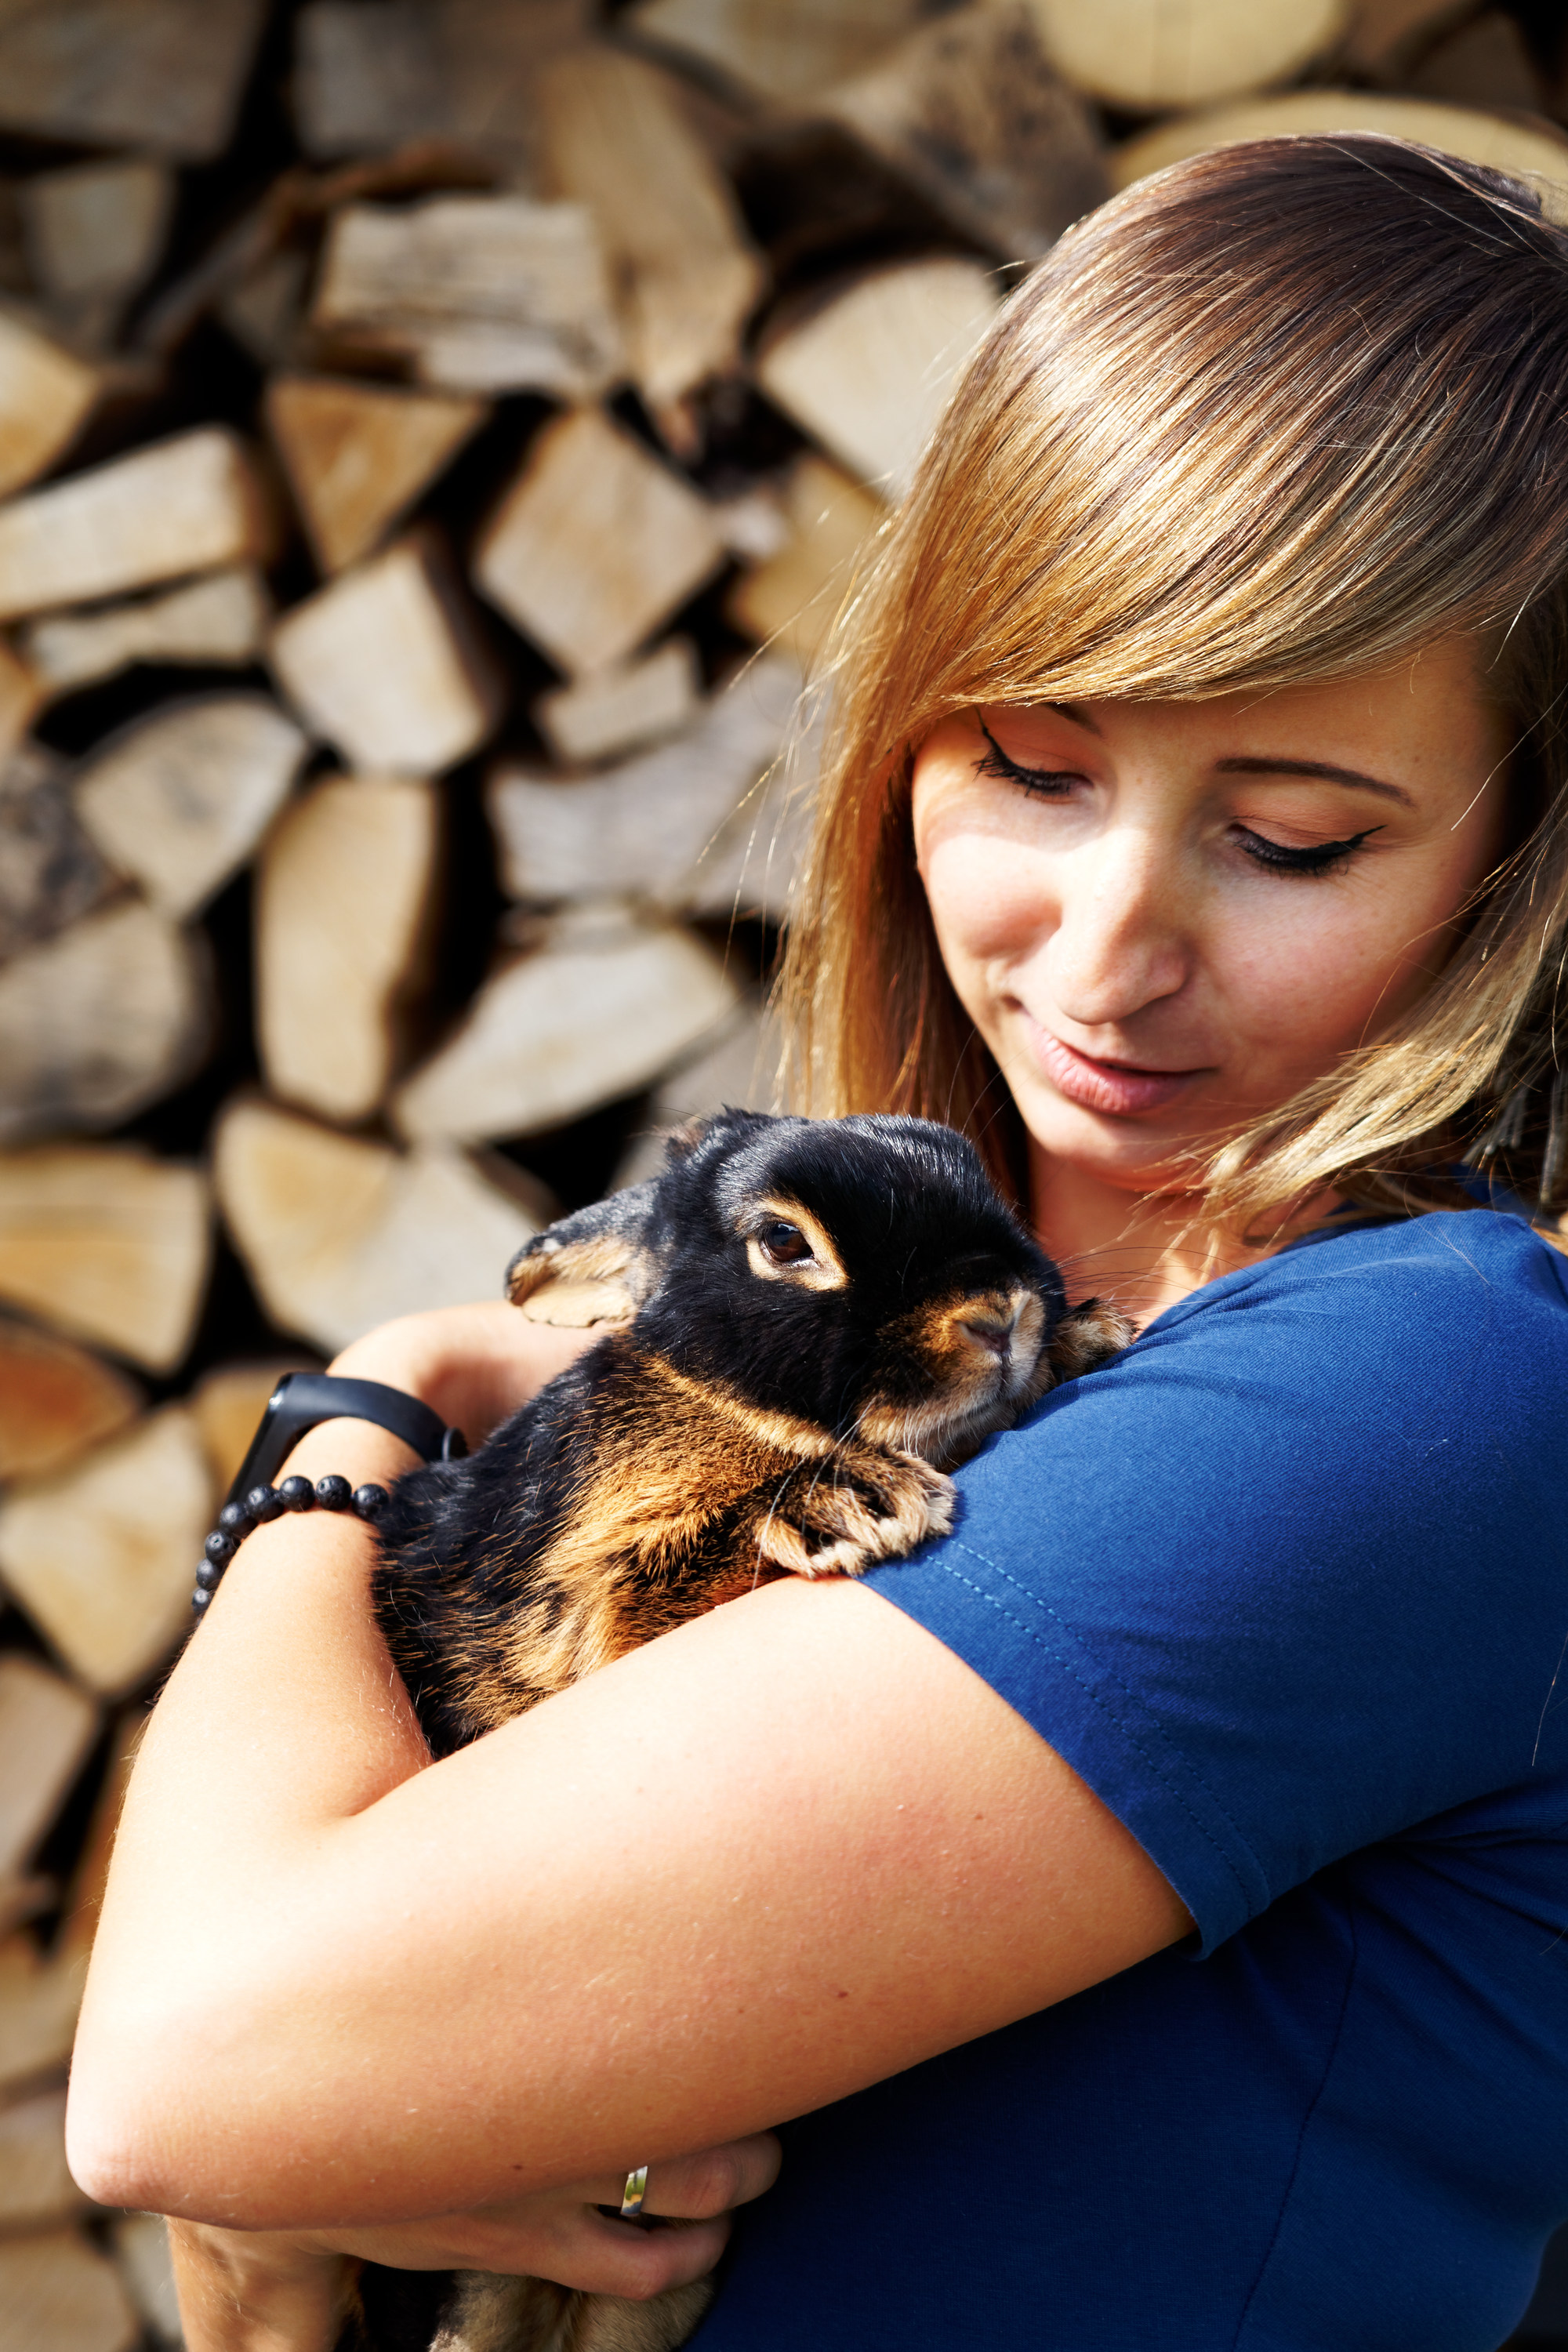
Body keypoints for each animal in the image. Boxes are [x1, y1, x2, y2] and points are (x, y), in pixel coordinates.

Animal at [359, 1110, 1128, 2352]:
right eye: (782, 1243)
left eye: (971, 1165)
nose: (1002, 1309)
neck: (727, 1398)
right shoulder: (600, 1609)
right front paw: (851, 1502)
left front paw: (1088, 1338)